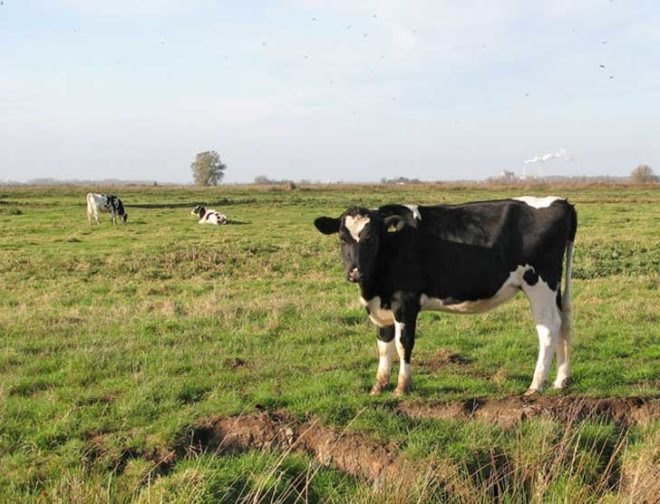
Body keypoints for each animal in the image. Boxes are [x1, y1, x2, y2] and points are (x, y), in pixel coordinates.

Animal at [314, 196, 577, 397]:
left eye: (371, 239)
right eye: (342, 238)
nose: (355, 272)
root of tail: (562, 202)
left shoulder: (405, 302)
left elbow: (403, 343)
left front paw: (402, 387)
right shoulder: (382, 306)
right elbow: (383, 345)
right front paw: (378, 386)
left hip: (539, 284)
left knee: (548, 329)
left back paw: (536, 385)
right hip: (554, 288)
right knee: (563, 323)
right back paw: (560, 381)